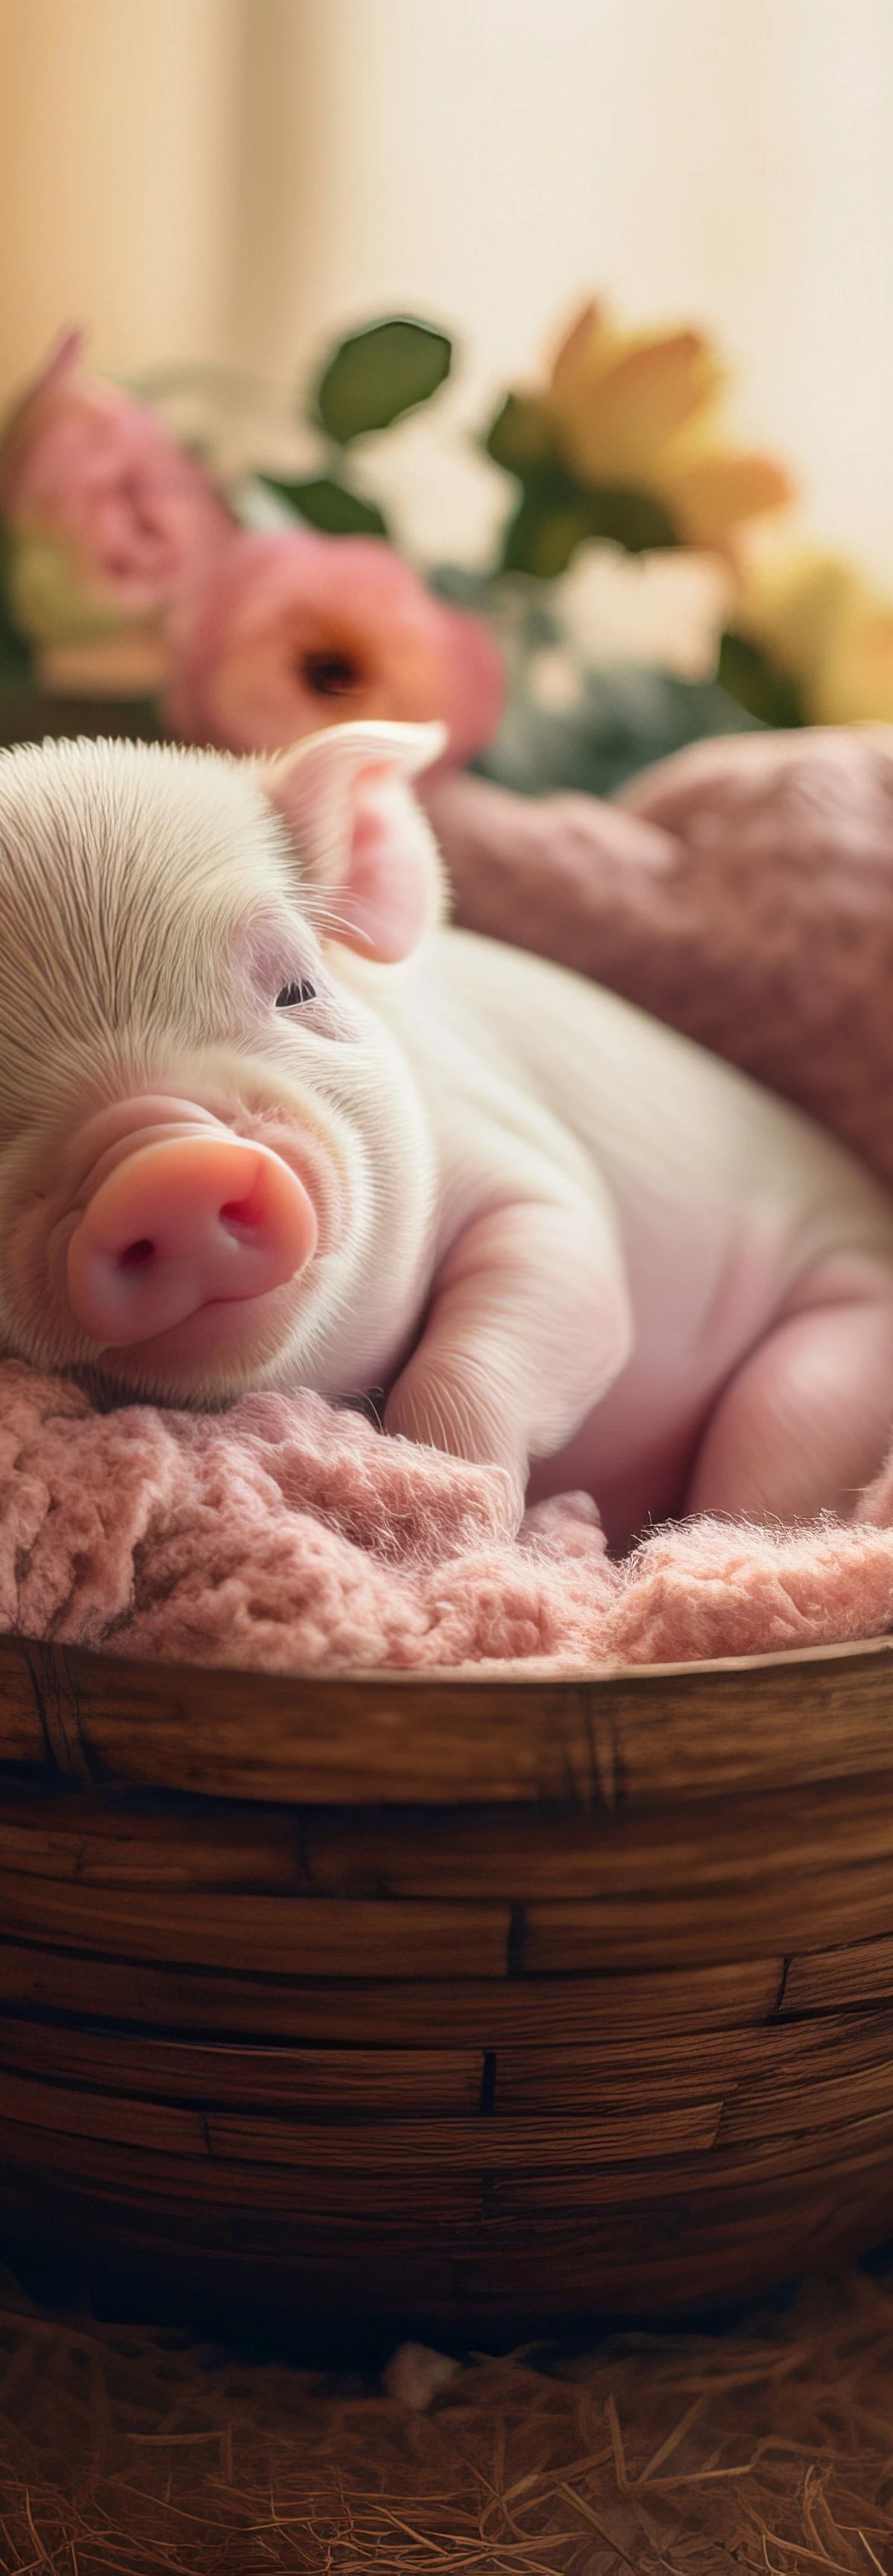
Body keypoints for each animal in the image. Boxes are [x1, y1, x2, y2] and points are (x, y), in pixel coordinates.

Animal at [1, 717, 893, 1552]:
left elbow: (551, 1303)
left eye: (298, 987)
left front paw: (469, 1509)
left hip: (827, 1366)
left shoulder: (518, 1163)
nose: (167, 1163)